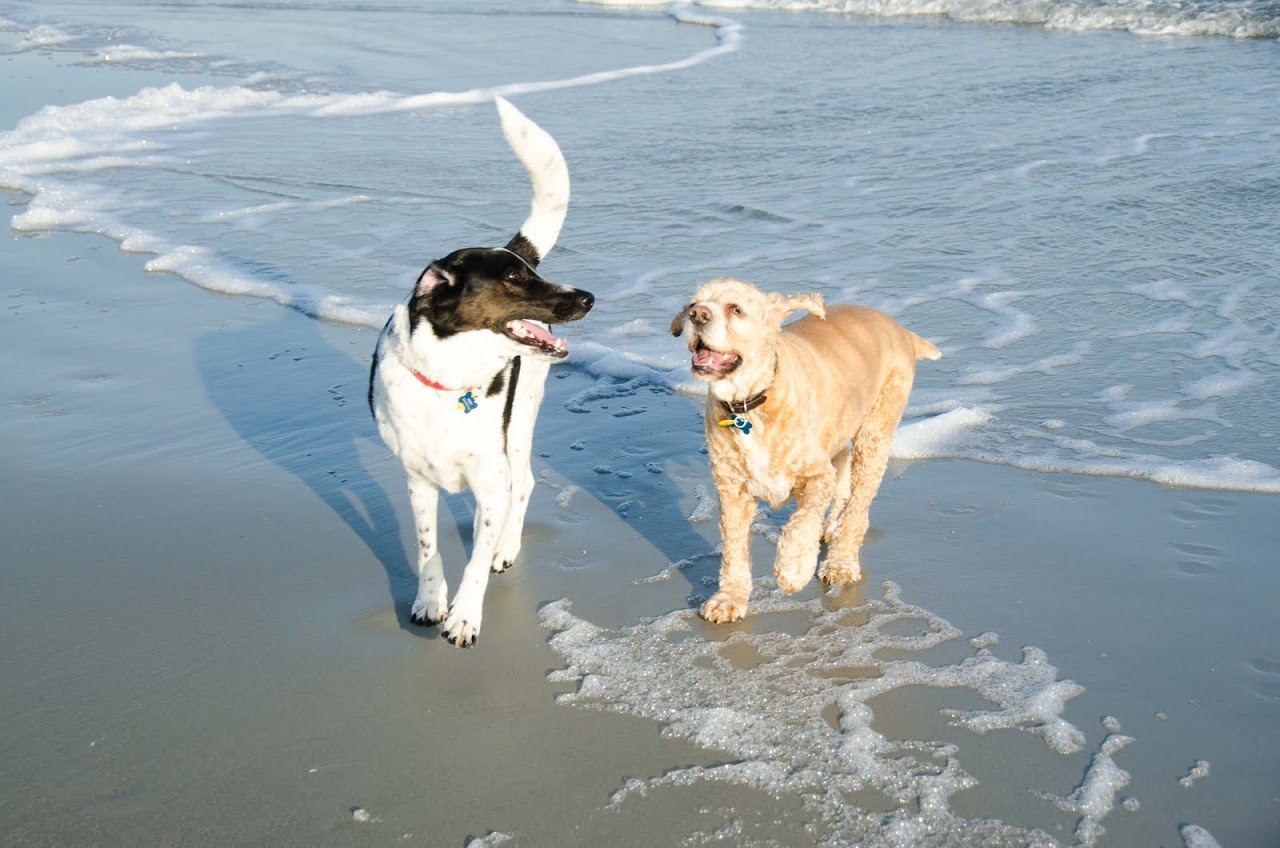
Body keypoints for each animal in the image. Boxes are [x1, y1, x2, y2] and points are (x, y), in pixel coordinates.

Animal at [368, 96, 591, 648]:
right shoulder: (417, 482)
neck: (448, 380)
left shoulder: (491, 481)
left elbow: (475, 558)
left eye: (529, 272)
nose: (589, 297)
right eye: (512, 276)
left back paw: (505, 547)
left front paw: (465, 614)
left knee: (523, 483)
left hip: (521, 420)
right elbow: (428, 549)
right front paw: (430, 601)